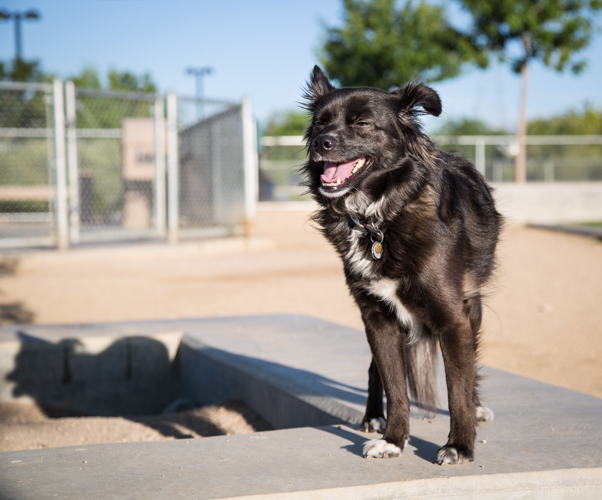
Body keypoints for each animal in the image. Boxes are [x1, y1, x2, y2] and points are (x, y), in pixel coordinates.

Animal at [301, 66, 502, 465]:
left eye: (363, 123)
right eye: (320, 124)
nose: (321, 143)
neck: (380, 219)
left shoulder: (454, 318)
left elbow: (457, 387)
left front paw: (459, 445)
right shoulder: (376, 317)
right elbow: (394, 386)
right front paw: (393, 440)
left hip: (472, 308)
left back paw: (476, 408)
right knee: (374, 370)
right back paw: (371, 417)